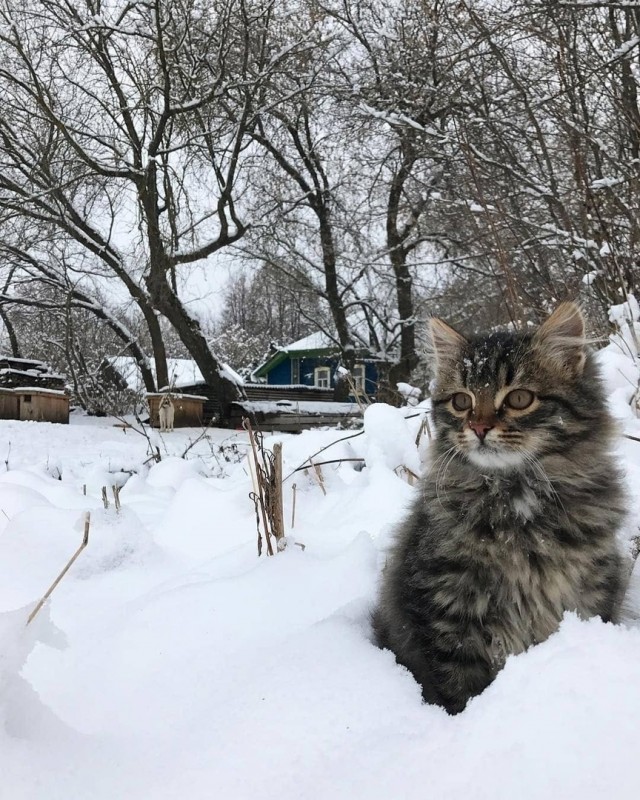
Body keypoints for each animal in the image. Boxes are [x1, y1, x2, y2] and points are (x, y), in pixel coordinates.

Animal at [372, 304, 628, 716]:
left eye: (519, 398)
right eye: (461, 401)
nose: (478, 427)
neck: (515, 501)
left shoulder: (589, 595)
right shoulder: (446, 611)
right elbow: (457, 688)